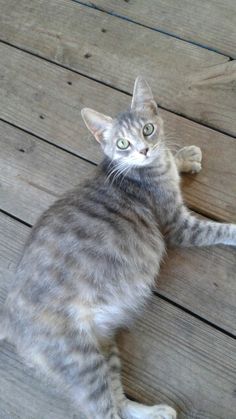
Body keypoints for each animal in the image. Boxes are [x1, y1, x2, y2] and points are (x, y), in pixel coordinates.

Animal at [0, 76, 236, 419]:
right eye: (122, 144)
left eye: (148, 129)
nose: (144, 149)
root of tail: (7, 317)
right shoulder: (179, 226)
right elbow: (217, 228)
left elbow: (172, 157)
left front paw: (185, 155)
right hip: (81, 359)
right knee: (105, 411)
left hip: (104, 346)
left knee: (120, 404)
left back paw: (156, 412)